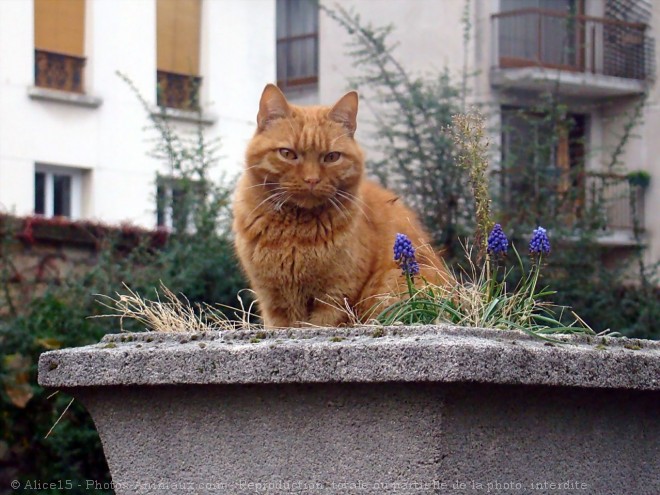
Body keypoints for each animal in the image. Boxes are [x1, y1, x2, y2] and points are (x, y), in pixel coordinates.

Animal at [232, 84, 448, 330]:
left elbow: (322, 323)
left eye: (331, 157)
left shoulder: (335, 296)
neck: (295, 232)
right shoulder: (273, 301)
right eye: (287, 153)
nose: (312, 179)